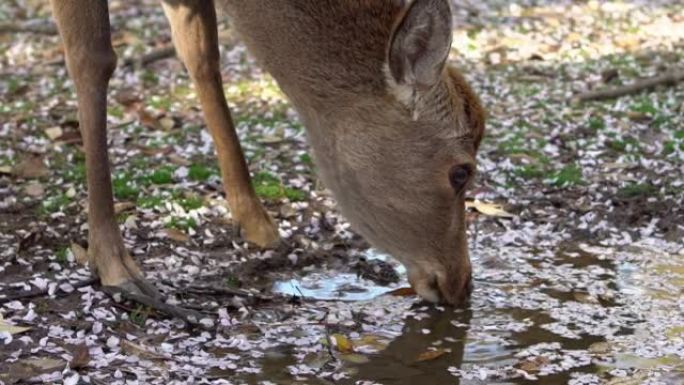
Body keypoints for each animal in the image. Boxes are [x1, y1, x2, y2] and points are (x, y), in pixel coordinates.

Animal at [48, 0, 484, 308]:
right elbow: (92, 59)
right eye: (461, 172)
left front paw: (258, 223)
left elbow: (201, 53)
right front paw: (116, 267)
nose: (461, 283)